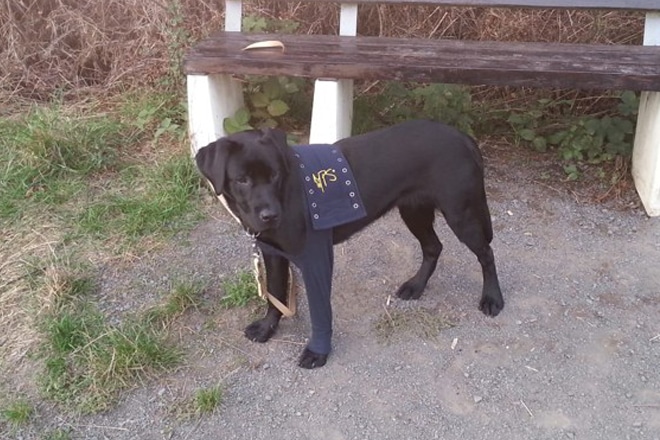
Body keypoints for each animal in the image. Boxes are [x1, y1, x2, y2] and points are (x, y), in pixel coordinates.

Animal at [195, 119, 504, 369]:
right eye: (242, 180)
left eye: (274, 175)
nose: (270, 215)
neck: (287, 195)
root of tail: (462, 137)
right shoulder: (273, 254)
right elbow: (275, 295)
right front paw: (267, 327)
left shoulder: (317, 259)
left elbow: (320, 313)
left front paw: (318, 352)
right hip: (413, 211)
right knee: (433, 247)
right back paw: (416, 286)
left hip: (460, 213)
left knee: (486, 253)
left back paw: (492, 298)